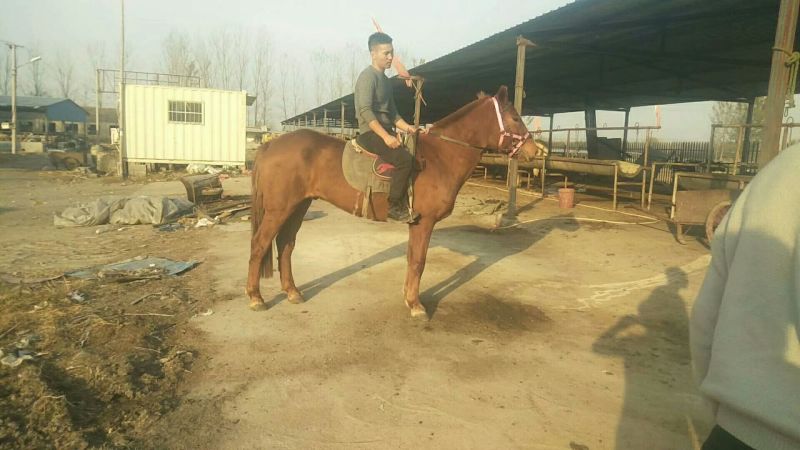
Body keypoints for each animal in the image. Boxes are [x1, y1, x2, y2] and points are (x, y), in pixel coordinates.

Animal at [247, 85, 541, 317]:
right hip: (280, 209)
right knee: (260, 245)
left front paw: (408, 297)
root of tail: (270, 145)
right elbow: (419, 261)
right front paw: (416, 305)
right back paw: (256, 297)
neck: (440, 157)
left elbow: (412, 259)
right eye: (515, 117)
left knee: (286, 245)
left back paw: (292, 292)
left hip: (298, 206)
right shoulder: (424, 222)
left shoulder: (417, 224)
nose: (534, 151)